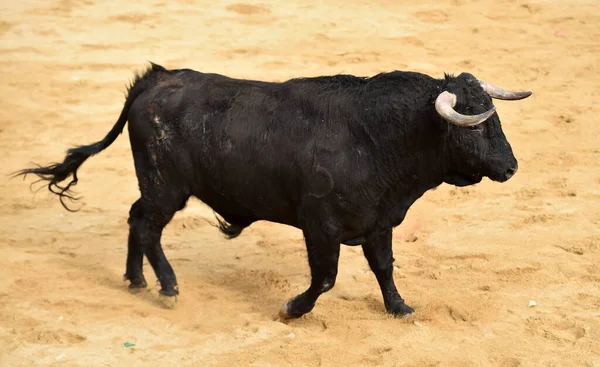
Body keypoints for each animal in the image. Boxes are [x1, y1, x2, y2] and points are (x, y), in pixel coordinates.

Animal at [16, 64, 528, 320]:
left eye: (494, 117)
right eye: (475, 127)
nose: (510, 167)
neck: (377, 136)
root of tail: (156, 78)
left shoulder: (379, 220)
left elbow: (384, 266)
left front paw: (399, 308)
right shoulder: (320, 226)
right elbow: (325, 278)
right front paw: (291, 309)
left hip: (157, 185)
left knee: (134, 217)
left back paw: (136, 280)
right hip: (166, 186)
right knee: (146, 224)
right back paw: (167, 286)